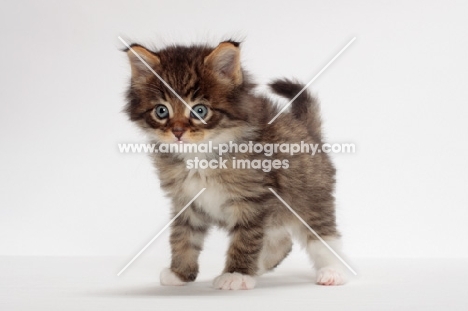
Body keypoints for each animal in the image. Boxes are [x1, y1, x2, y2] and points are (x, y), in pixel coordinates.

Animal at [123, 40, 348, 292]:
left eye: (199, 110)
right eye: (161, 111)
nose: (178, 132)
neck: (200, 155)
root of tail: (307, 130)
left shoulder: (253, 199)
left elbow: (245, 238)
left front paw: (236, 274)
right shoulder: (186, 201)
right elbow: (183, 237)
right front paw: (179, 273)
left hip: (310, 199)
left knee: (322, 236)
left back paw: (332, 272)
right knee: (282, 240)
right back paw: (260, 266)